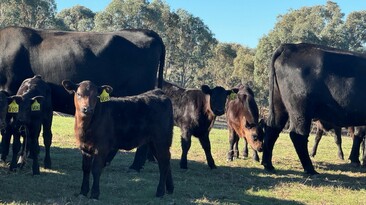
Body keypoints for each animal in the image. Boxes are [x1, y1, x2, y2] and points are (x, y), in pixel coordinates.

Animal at [264, 42, 366, 175]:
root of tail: (290, 46)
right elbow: (360, 136)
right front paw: (357, 160)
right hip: (301, 110)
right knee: (298, 135)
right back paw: (310, 169)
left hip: (279, 105)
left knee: (273, 128)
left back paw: (268, 164)